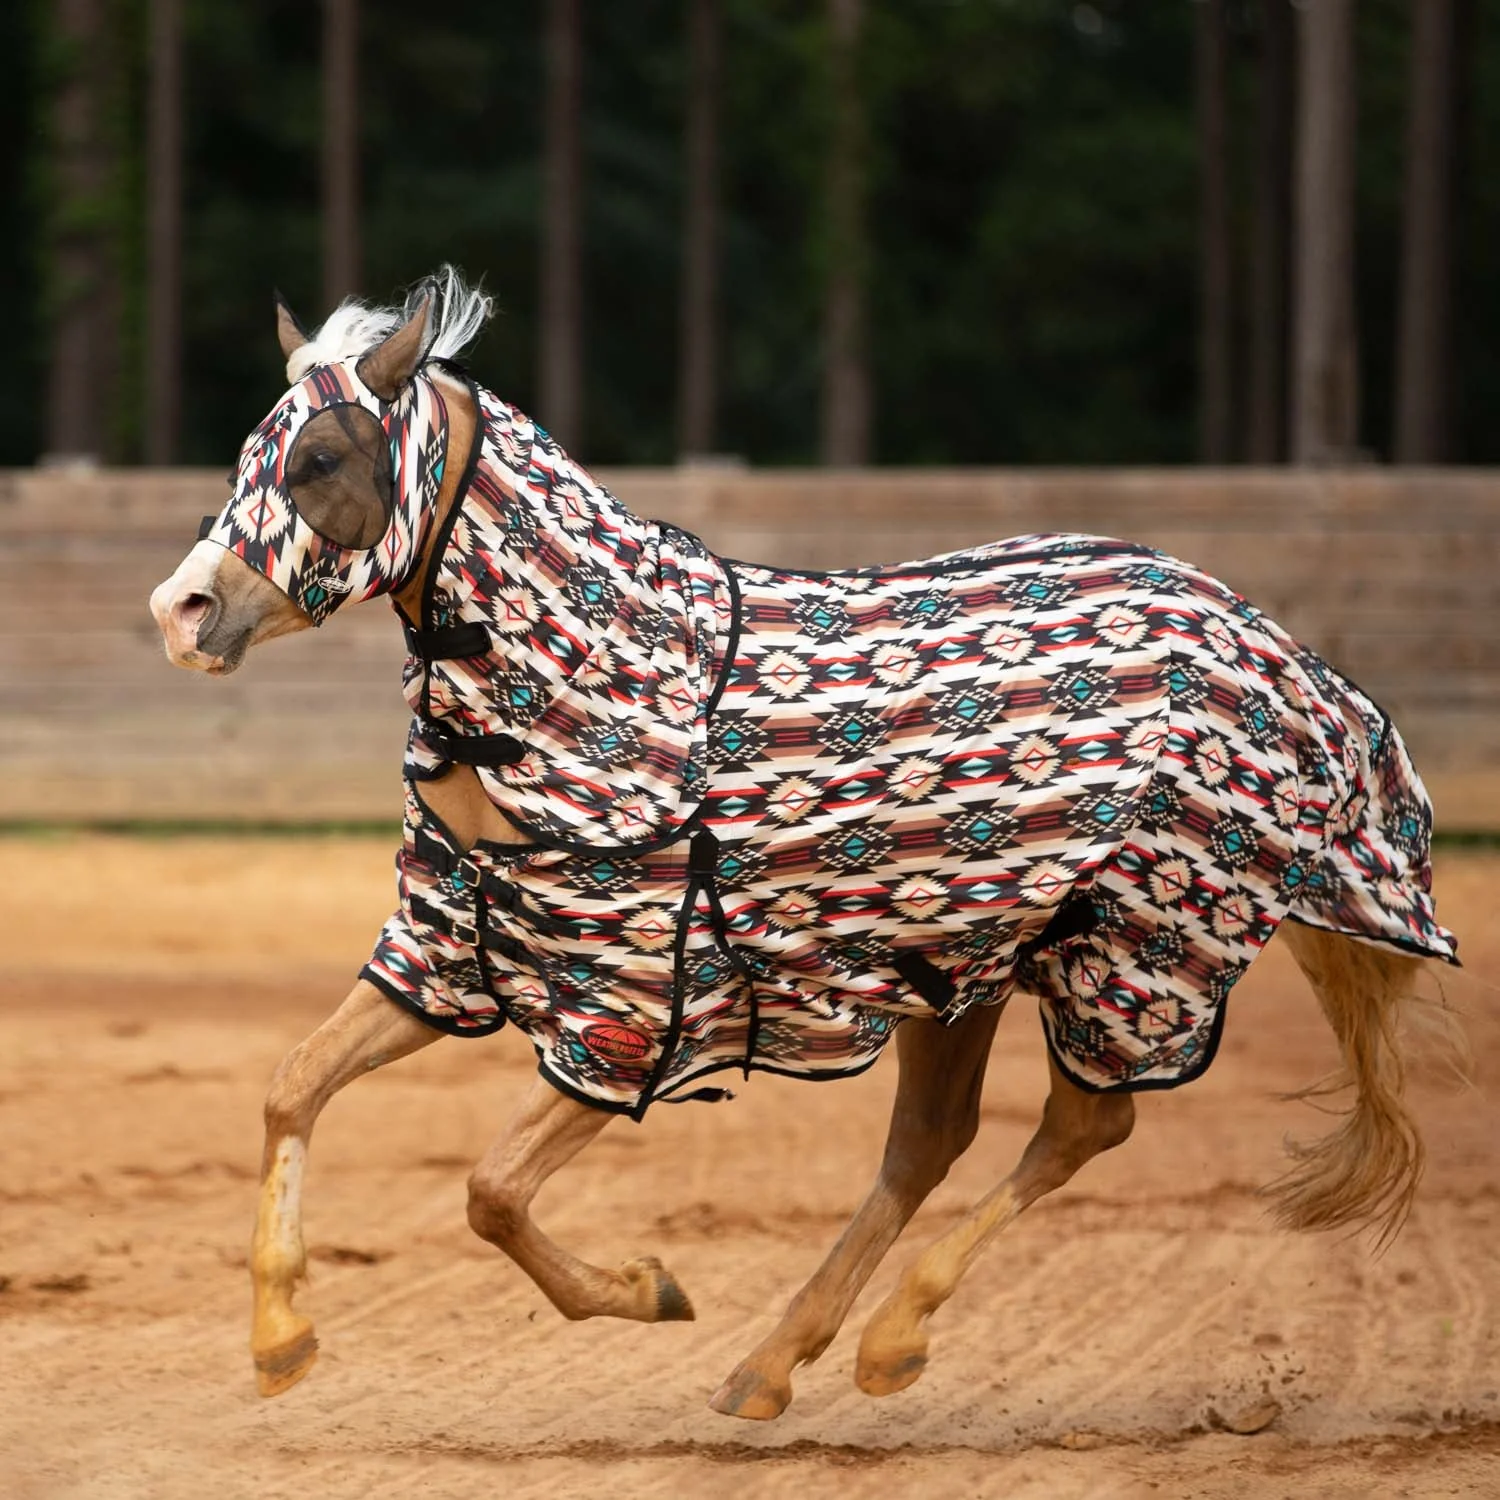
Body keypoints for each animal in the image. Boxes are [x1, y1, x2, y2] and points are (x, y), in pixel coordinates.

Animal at [149, 269, 1458, 1422]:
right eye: (251, 452)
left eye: (322, 459)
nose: (182, 610)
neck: (591, 690)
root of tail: (1276, 647)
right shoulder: (449, 955)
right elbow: (292, 1089)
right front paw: (281, 1338)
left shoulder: (635, 1013)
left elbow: (489, 1193)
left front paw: (650, 1289)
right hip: (961, 964)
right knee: (932, 1146)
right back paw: (772, 1367)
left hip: (1133, 956)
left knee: (1086, 1128)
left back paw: (889, 1341)